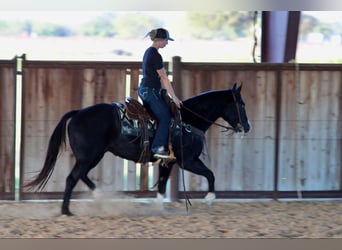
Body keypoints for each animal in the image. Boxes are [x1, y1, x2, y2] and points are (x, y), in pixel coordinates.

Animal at [23, 83, 248, 215]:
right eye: (242, 105)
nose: (247, 126)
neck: (187, 120)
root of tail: (78, 112)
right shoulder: (188, 161)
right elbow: (210, 174)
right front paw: (210, 198)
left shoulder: (169, 162)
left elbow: (162, 185)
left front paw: (159, 207)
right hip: (89, 156)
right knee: (72, 178)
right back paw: (66, 210)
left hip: (92, 156)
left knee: (82, 176)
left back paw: (97, 196)